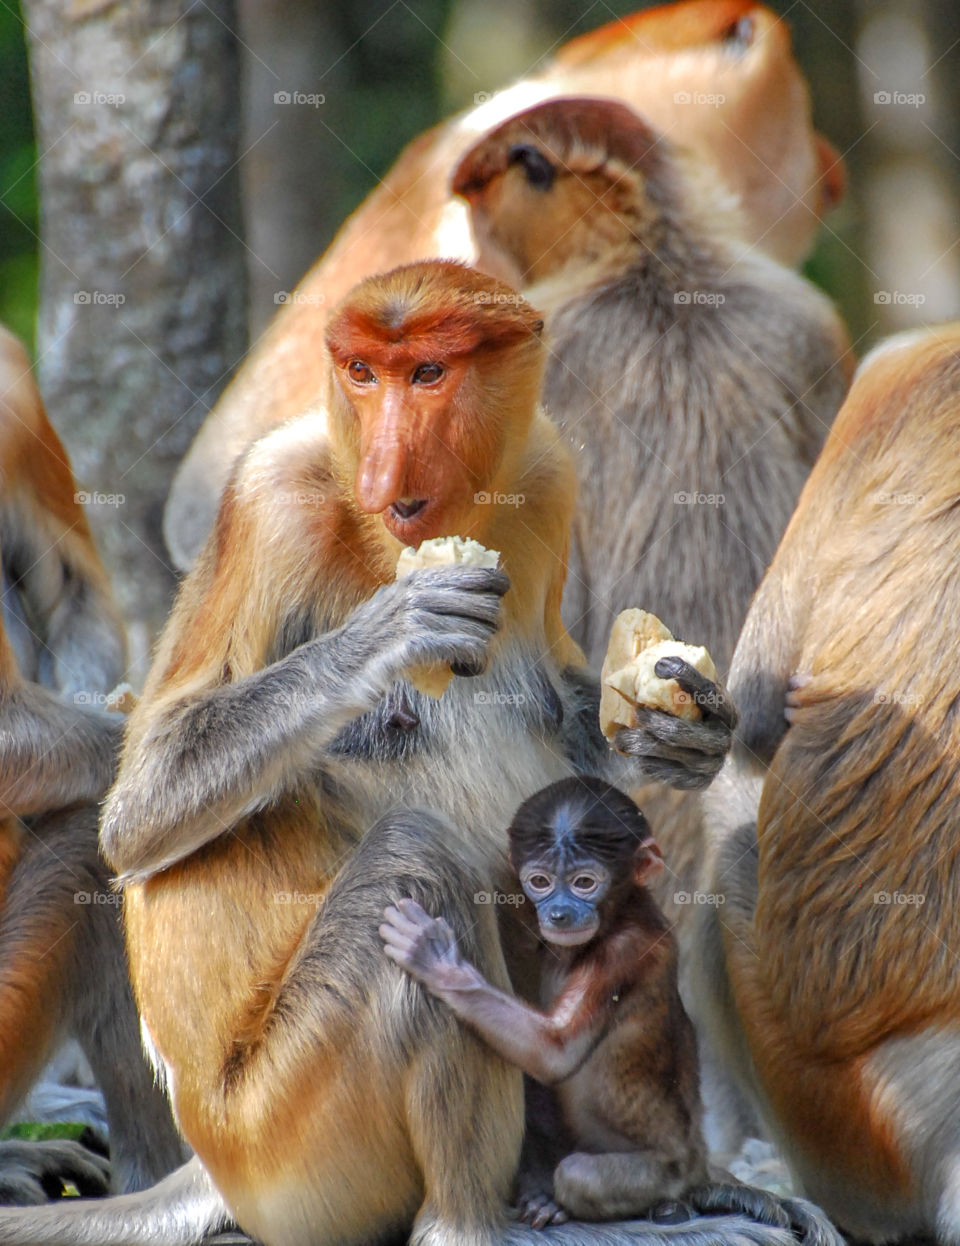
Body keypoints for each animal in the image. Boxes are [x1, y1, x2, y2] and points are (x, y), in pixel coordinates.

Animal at [380, 776, 710, 1229]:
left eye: (584, 883)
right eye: (540, 882)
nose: (558, 913)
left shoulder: (624, 951)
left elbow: (554, 1051)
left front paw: (438, 962)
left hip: (668, 1173)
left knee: (579, 1175)